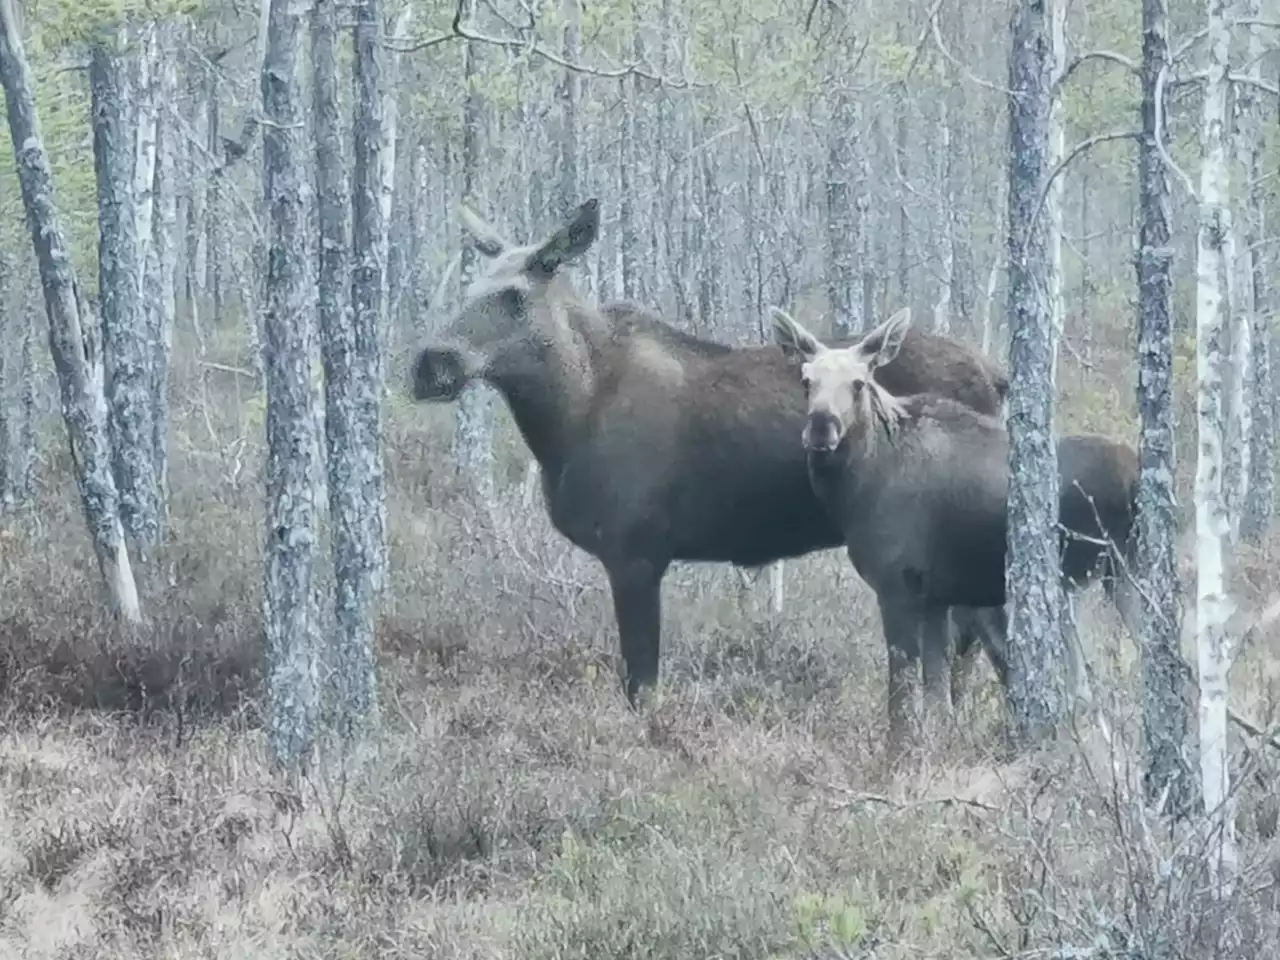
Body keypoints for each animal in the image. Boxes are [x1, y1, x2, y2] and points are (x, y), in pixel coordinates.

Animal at [409, 197, 1008, 706]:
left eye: (514, 296)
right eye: (468, 287)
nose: (429, 364)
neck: (566, 419)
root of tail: (997, 375)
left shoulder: (636, 553)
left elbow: (642, 686)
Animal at [768, 308, 1141, 757]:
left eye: (859, 382)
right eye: (806, 380)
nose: (822, 427)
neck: (861, 482)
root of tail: (1136, 478)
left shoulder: (898, 585)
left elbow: (903, 693)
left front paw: (898, 756)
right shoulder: (936, 597)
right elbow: (938, 696)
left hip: (1088, 581)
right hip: (1116, 576)